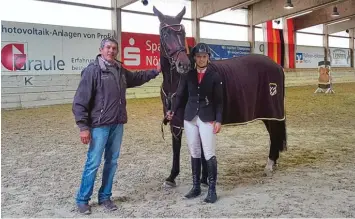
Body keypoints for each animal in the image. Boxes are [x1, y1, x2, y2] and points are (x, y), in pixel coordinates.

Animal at [154, 5, 290, 186]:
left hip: (271, 111)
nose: (183, 64)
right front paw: (172, 177)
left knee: (274, 133)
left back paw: (269, 164)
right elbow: (177, 148)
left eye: (182, 32)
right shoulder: (175, 120)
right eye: (165, 33)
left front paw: (204, 178)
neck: (176, 82)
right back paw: (272, 163)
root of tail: (276, 66)